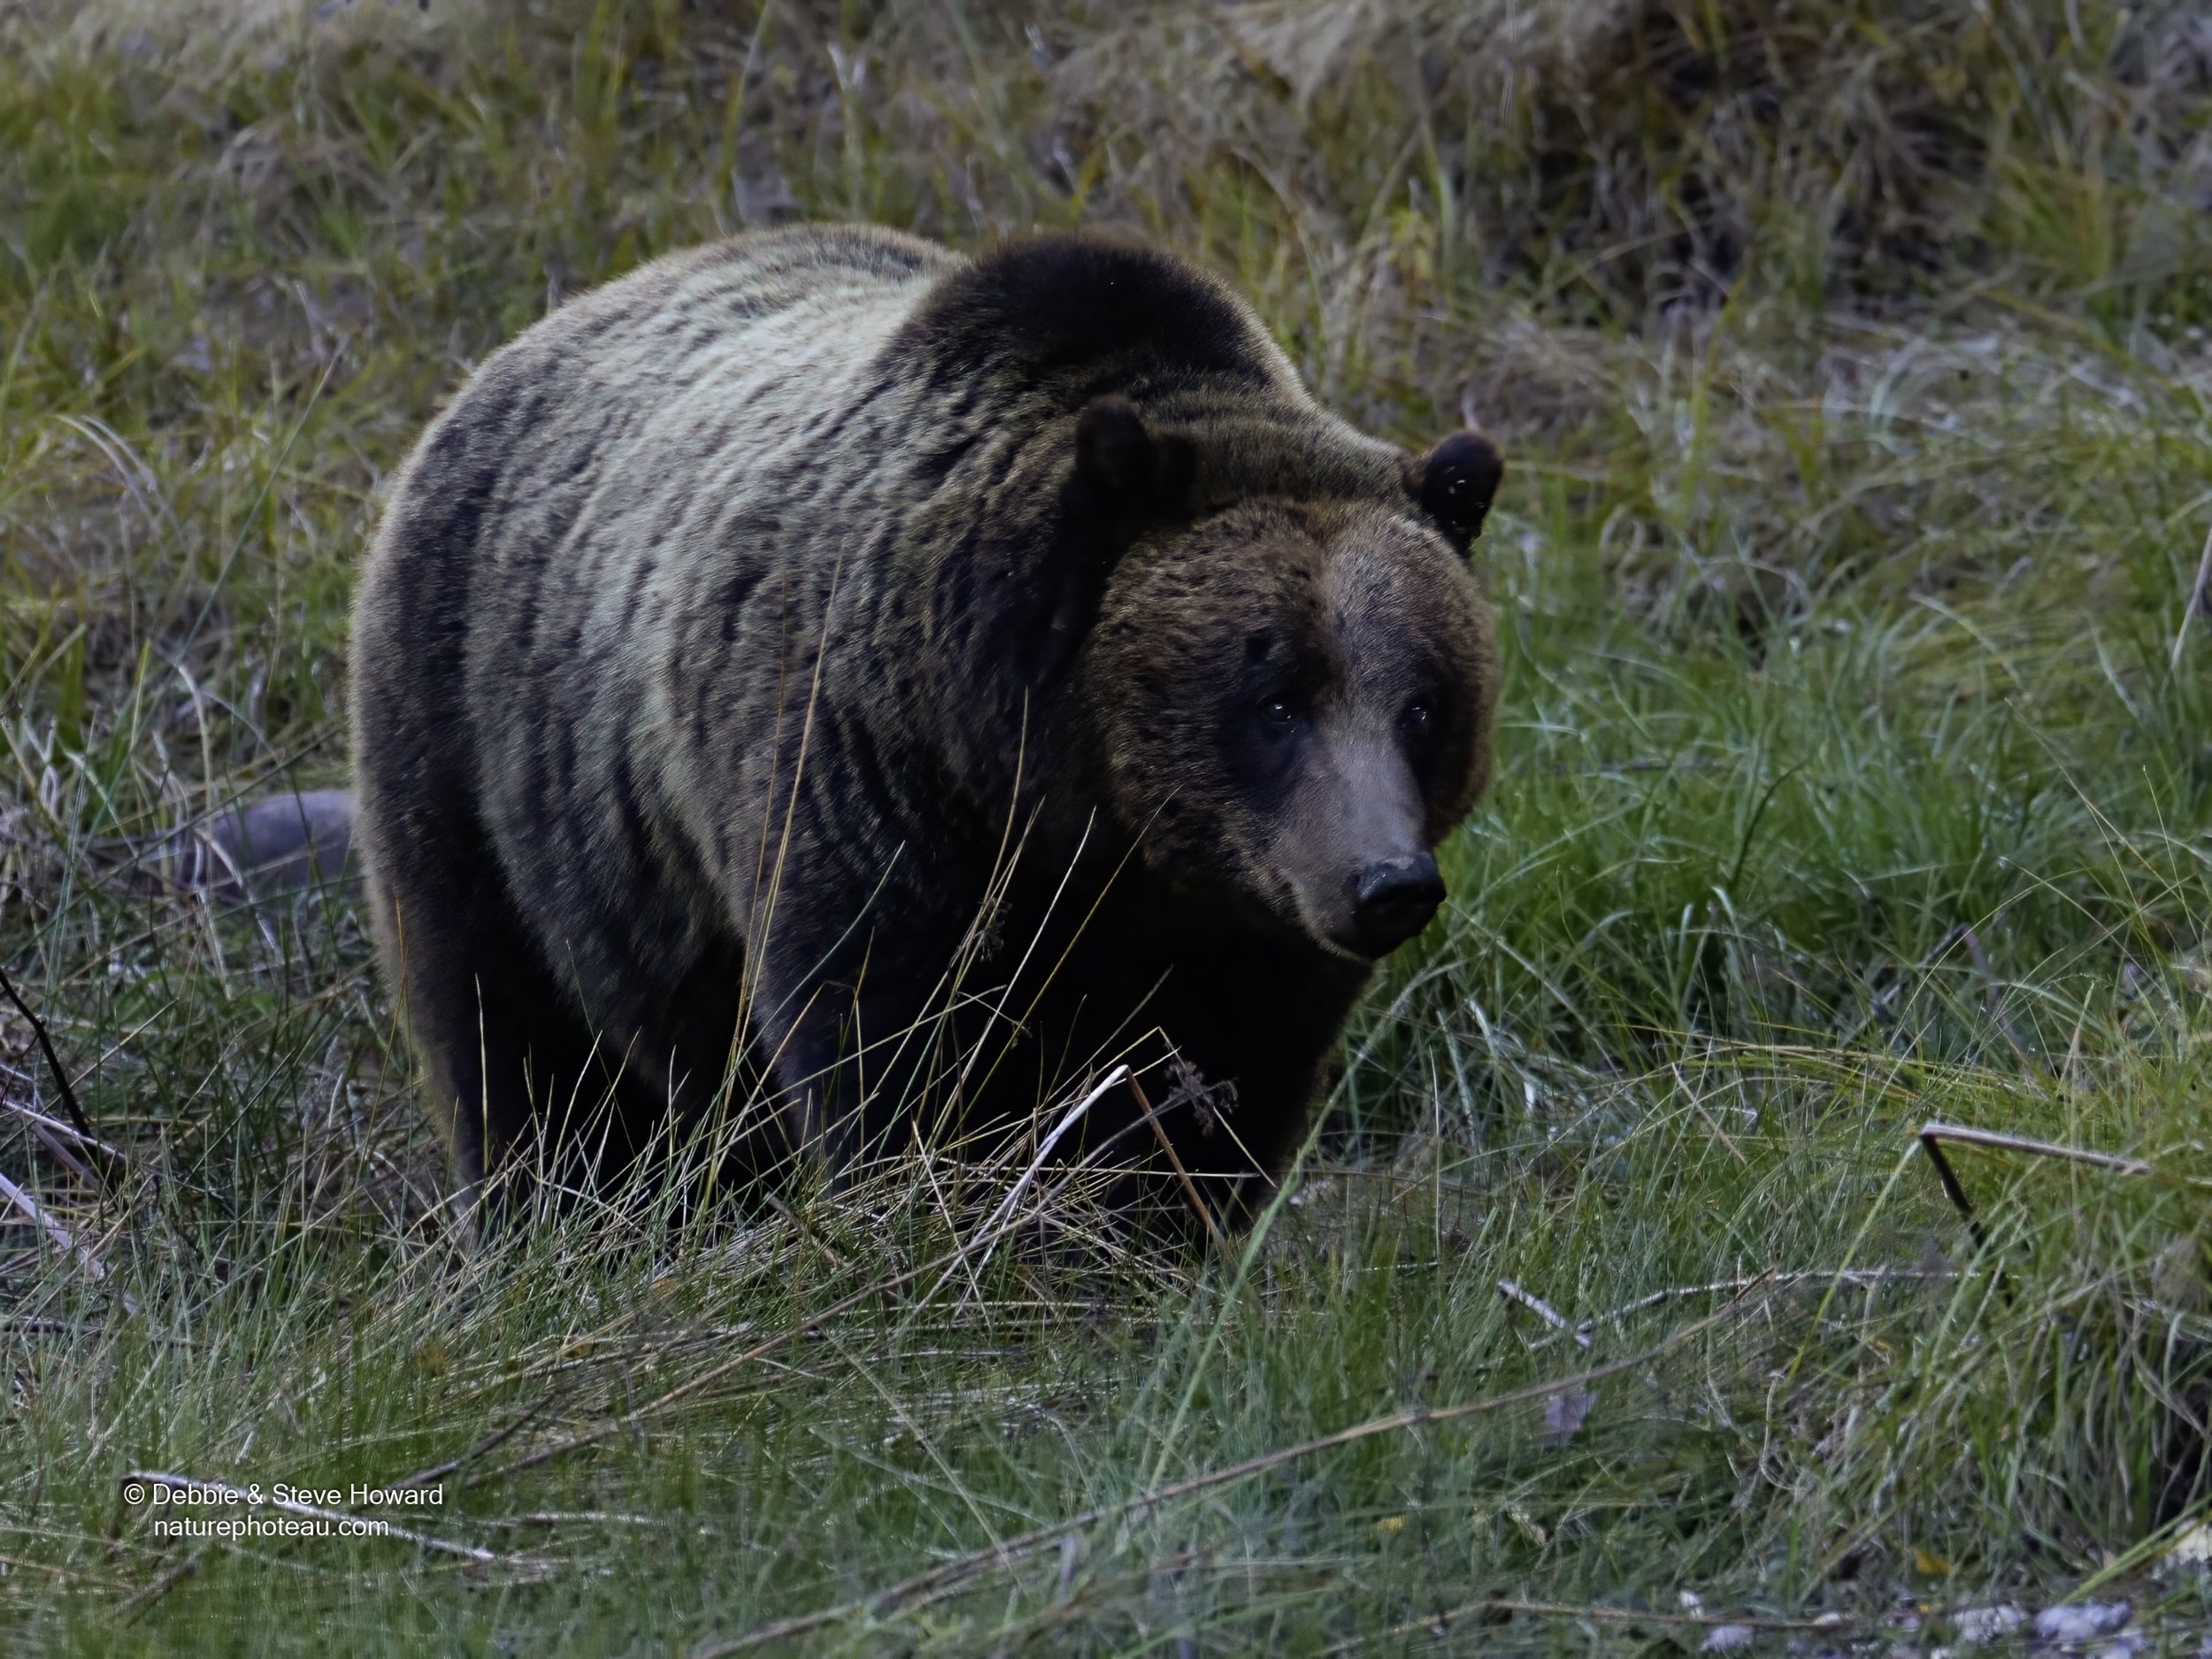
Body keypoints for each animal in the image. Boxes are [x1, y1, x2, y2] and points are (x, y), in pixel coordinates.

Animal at [349, 223, 1503, 1235]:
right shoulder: (874, 791)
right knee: (517, 1050)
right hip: (478, 754)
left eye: (1423, 702)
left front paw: (1156, 1233)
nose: (1386, 882)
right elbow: (898, 1061)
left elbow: (1217, 1087)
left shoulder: (1243, 922)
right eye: (1274, 698)